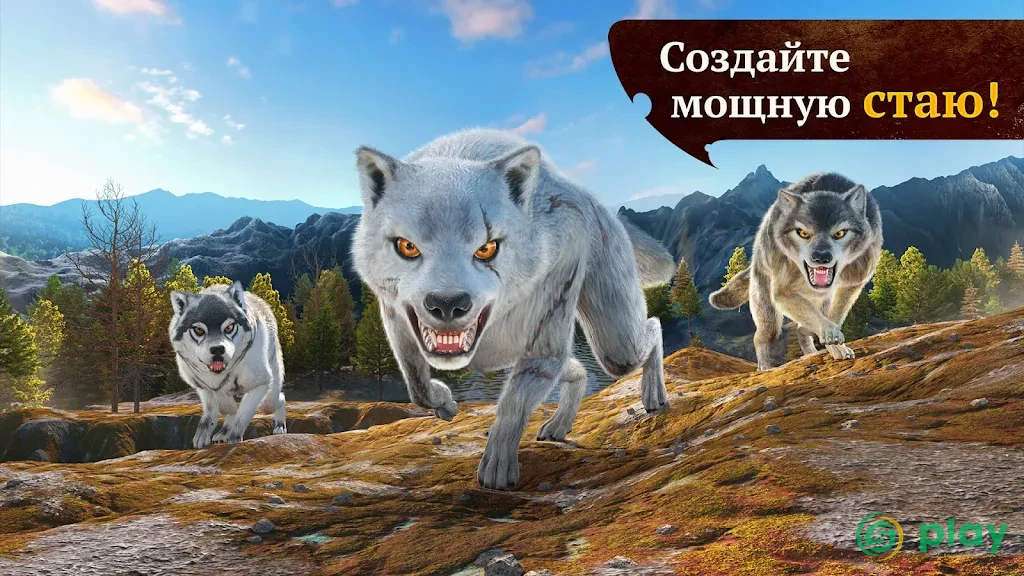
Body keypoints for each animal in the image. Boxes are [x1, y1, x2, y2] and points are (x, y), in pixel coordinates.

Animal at [169, 281, 287, 448]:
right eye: (199, 330)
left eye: (229, 327)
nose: (218, 349)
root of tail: (258, 299)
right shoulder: (203, 386)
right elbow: (217, 409)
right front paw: (205, 435)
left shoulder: (261, 384)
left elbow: (242, 414)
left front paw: (234, 437)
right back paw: (222, 433)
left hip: (268, 401)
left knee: (281, 398)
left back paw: (279, 427)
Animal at [350, 128, 676, 490]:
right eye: (407, 246)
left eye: (486, 248)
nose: (448, 304)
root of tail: (592, 198)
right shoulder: (396, 321)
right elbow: (417, 385)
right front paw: (445, 403)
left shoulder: (544, 338)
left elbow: (512, 404)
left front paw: (496, 469)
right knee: (578, 369)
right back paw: (557, 427)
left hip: (615, 346)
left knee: (652, 326)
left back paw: (654, 397)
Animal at [709, 173, 883, 371]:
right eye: (802, 233)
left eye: (840, 233)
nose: (821, 257)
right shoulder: (783, 292)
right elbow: (819, 319)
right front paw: (830, 334)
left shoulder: (853, 283)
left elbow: (834, 316)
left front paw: (836, 345)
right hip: (769, 316)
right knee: (761, 337)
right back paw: (766, 368)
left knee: (802, 328)